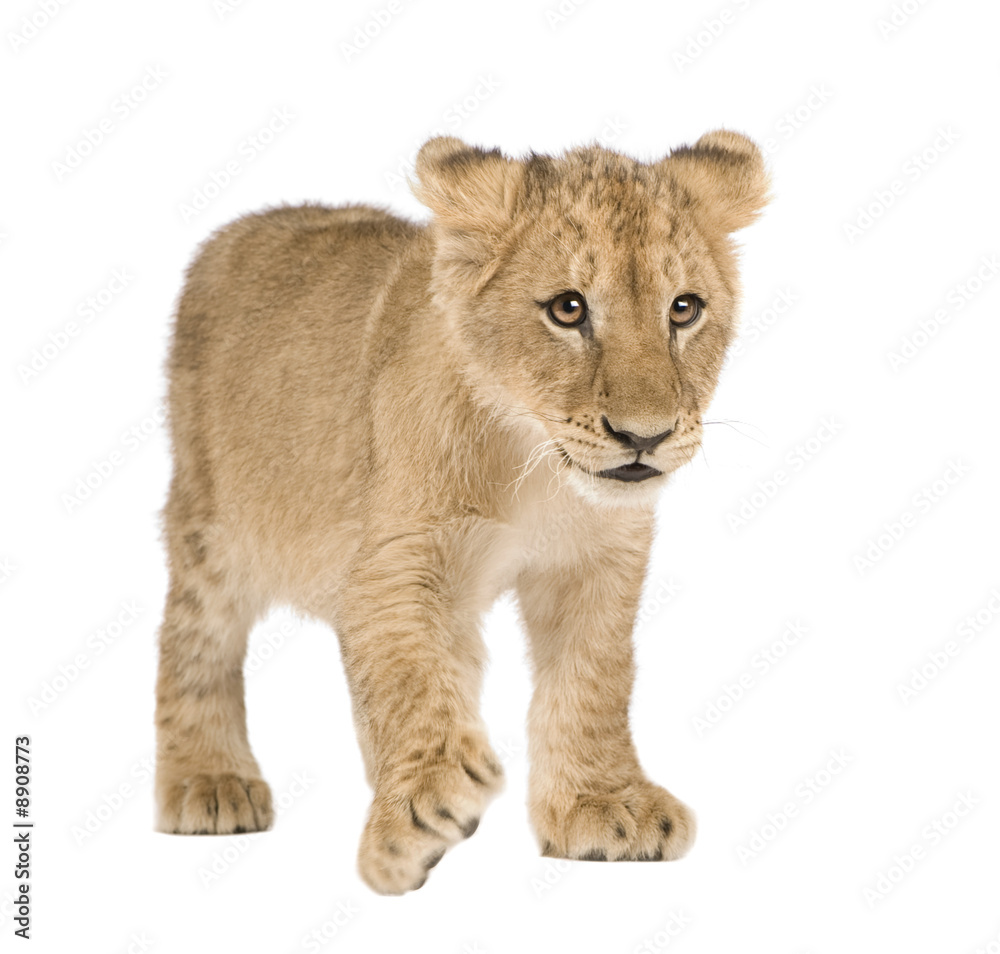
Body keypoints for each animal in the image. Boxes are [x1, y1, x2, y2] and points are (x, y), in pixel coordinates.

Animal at [154, 130, 770, 894]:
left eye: (684, 309)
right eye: (568, 308)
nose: (644, 437)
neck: (532, 463)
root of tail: (241, 226)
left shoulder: (602, 562)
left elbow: (594, 681)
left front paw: (603, 805)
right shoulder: (393, 563)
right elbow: (410, 680)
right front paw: (421, 810)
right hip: (210, 518)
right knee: (193, 639)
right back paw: (208, 781)